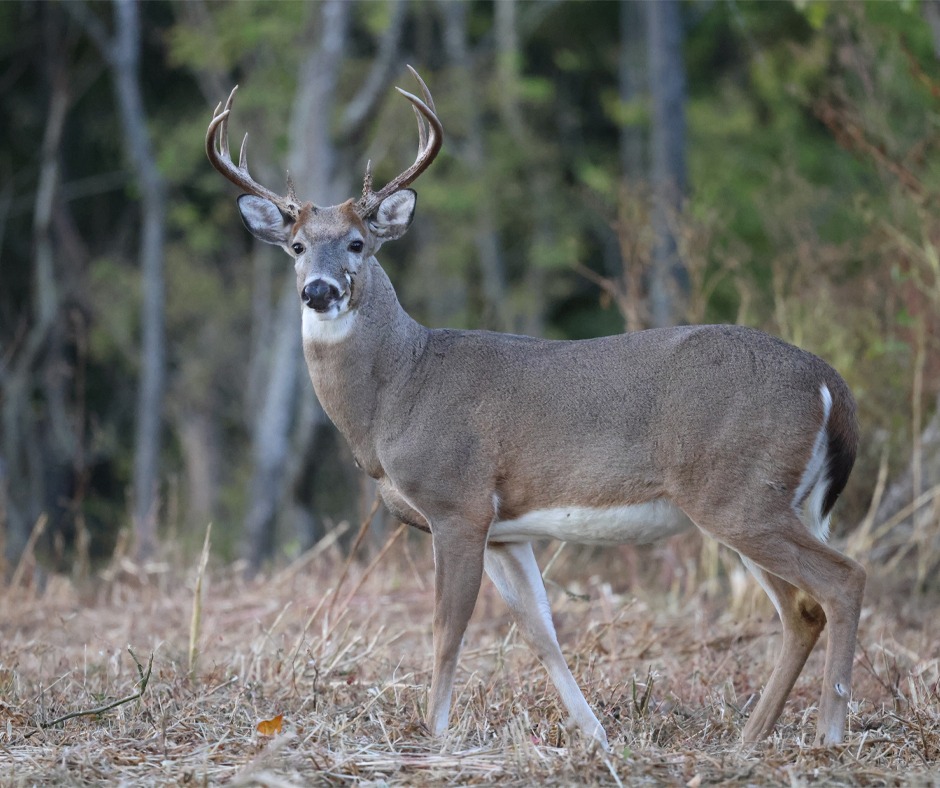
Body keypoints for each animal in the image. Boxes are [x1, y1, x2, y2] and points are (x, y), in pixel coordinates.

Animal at [207, 67, 868, 752]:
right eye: (297, 247)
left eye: (359, 243)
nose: (319, 290)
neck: (399, 390)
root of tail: (831, 385)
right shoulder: (507, 530)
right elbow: (541, 633)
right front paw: (597, 739)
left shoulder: (458, 502)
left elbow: (447, 630)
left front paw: (434, 736)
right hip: (771, 501)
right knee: (801, 609)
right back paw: (750, 741)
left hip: (738, 491)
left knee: (841, 582)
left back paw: (830, 734)